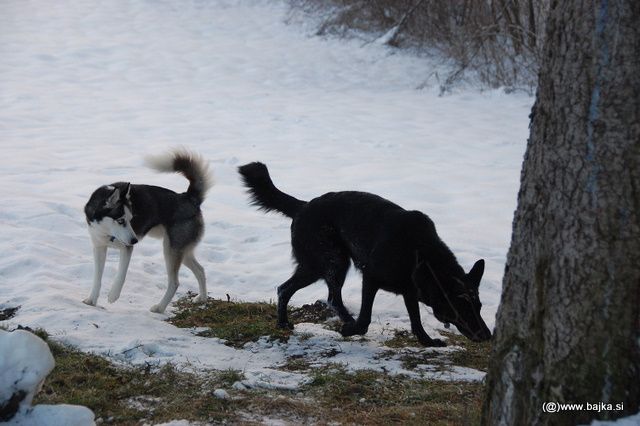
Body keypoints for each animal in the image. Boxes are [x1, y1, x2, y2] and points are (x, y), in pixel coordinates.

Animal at [81, 150, 212, 312]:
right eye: (121, 220)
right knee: (200, 270)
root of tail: (188, 197)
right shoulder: (99, 247)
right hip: (182, 251)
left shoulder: (127, 248)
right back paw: (202, 298)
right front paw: (91, 300)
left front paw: (113, 295)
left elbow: (121, 275)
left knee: (175, 282)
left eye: (131, 219)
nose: (135, 240)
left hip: (170, 250)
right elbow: (97, 278)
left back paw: (159, 308)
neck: (107, 232)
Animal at [238, 162, 492, 346]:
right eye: (462, 308)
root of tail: (303, 206)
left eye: (479, 306)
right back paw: (334, 321)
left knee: (291, 290)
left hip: (322, 265)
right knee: (320, 295)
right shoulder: (370, 278)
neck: (419, 252)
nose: (488, 336)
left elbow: (416, 320)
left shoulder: (410, 290)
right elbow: (366, 319)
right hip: (331, 262)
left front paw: (427, 341)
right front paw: (352, 329)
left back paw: (285, 323)